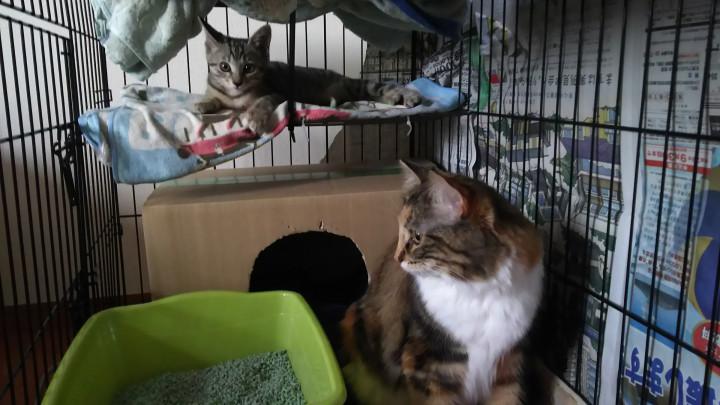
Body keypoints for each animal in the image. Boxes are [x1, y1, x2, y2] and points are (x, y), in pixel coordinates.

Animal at [195, 20, 423, 135]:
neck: (236, 97)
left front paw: (255, 117)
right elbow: (213, 96)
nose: (237, 82)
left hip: (355, 86)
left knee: (380, 87)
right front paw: (204, 103)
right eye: (224, 67)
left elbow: (263, 101)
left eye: (248, 67)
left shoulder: (278, 93)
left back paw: (408, 96)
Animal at [340, 160, 550, 405]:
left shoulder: (508, 364)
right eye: (401, 232)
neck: (479, 290)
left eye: (417, 237)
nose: (397, 257)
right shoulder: (431, 367)